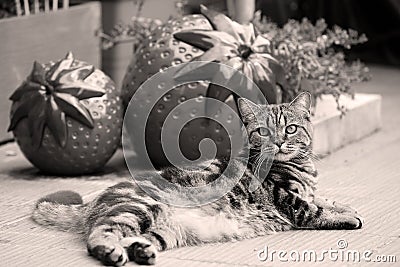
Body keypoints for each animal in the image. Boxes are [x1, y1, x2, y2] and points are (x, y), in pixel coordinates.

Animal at [32, 93, 362, 266]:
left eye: (290, 129)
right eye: (263, 131)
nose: (279, 142)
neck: (300, 165)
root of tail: (95, 201)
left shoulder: (307, 190)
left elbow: (322, 197)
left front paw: (342, 205)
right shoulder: (286, 198)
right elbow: (313, 208)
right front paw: (345, 215)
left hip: (166, 230)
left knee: (135, 237)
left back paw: (140, 250)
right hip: (137, 207)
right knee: (102, 232)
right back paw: (109, 250)